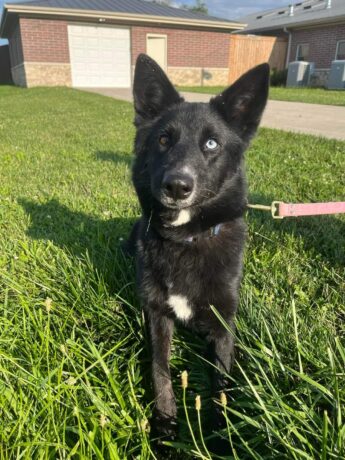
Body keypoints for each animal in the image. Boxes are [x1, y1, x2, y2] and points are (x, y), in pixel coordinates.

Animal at [126, 53, 268, 438]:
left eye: (212, 144)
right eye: (163, 139)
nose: (177, 186)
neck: (185, 239)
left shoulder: (222, 324)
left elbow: (221, 384)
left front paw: (220, 437)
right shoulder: (157, 315)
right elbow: (160, 371)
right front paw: (165, 428)